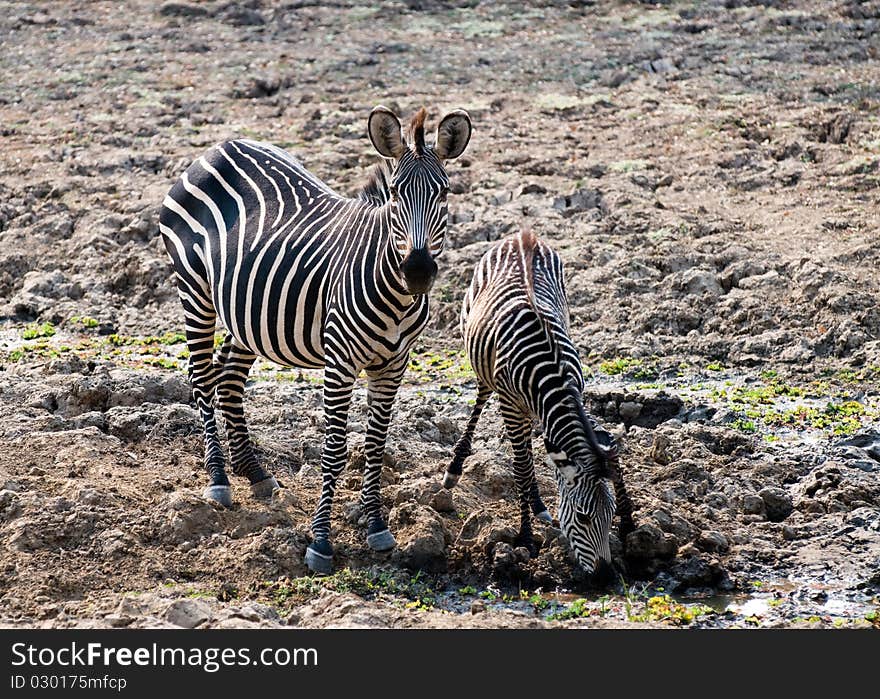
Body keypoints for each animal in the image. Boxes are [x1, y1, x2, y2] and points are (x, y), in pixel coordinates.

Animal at [158, 105, 474, 576]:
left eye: (444, 193)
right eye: (395, 194)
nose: (417, 271)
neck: (396, 295)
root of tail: (220, 146)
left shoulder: (393, 363)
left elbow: (376, 444)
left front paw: (377, 527)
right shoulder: (339, 360)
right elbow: (335, 449)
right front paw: (320, 542)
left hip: (247, 313)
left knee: (228, 380)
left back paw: (256, 474)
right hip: (194, 289)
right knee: (200, 377)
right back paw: (218, 480)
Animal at [444, 232, 636, 576]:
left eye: (611, 513)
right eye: (583, 516)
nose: (604, 576)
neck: (552, 375)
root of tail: (522, 235)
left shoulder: (577, 395)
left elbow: (608, 453)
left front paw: (630, 526)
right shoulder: (510, 404)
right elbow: (520, 468)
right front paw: (525, 538)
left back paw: (538, 503)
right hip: (476, 345)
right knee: (483, 397)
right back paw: (456, 468)